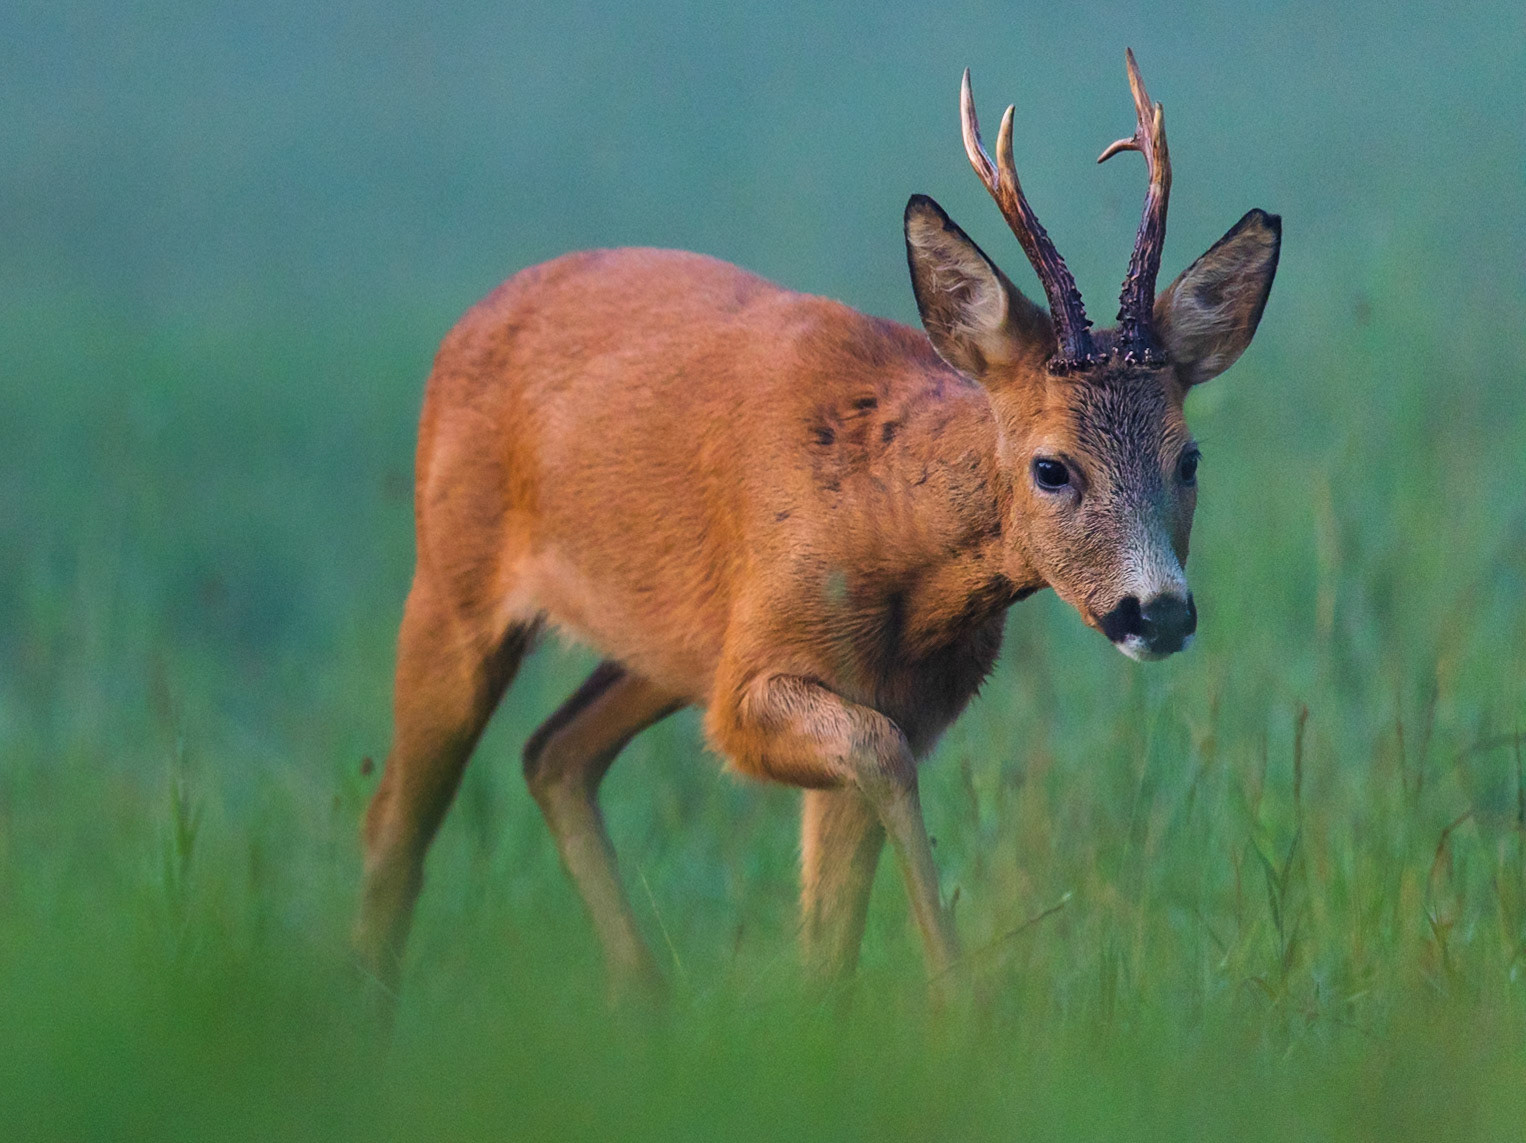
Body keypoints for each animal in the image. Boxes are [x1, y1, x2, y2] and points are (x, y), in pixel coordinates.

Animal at [354, 50, 1280, 998]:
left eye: (1189, 459)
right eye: (1052, 467)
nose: (1158, 611)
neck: (892, 539)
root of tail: (467, 322)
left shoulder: (869, 694)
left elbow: (832, 923)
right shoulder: (753, 687)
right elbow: (879, 759)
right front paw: (957, 989)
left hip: (668, 644)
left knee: (553, 753)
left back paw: (643, 994)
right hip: (453, 583)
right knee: (394, 824)